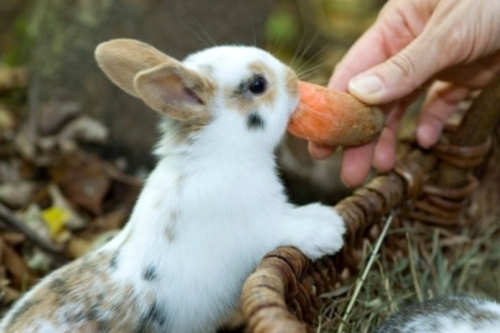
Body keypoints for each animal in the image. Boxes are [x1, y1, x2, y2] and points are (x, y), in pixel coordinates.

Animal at [0, 39, 346, 332]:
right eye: (257, 85)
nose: (292, 79)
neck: (221, 155)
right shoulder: (258, 226)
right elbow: (287, 227)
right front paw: (331, 230)